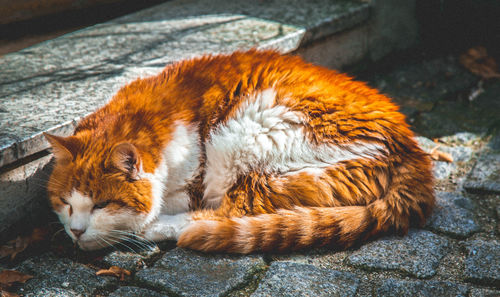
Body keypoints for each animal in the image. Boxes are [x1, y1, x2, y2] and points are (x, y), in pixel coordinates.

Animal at [44, 49, 434, 252]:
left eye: (102, 204)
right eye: (65, 202)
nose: (76, 231)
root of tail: (410, 146)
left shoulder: (194, 178)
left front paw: (137, 225)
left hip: (249, 132)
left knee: (234, 210)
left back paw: (159, 229)